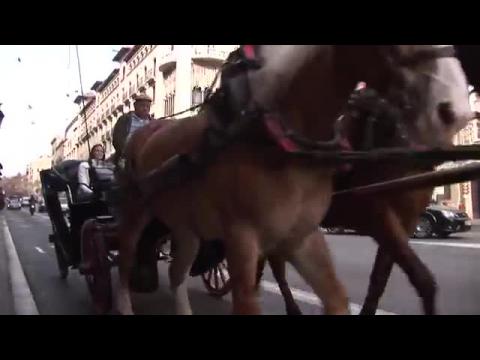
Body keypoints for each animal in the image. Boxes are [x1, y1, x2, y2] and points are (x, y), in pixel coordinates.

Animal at [115, 45, 468, 316]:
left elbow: (362, 290)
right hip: (135, 213)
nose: (456, 110)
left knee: (178, 271)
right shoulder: (244, 237)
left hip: (187, 227)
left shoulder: (304, 235)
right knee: (125, 262)